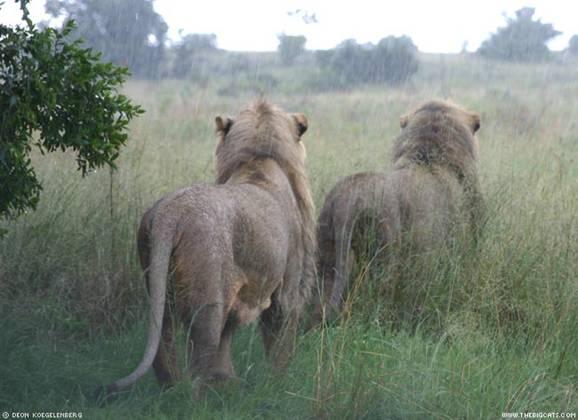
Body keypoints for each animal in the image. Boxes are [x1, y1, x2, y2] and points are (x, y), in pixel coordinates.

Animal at [106, 100, 318, 396]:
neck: (259, 160)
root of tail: (172, 211)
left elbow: (226, 342)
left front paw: (227, 380)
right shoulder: (286, 288)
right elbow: (280, 341)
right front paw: (279, 383)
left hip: (160, 288)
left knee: (164, 346)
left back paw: (172, 391)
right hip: (208, 297)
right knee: (200, 355)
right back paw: (195, 399)